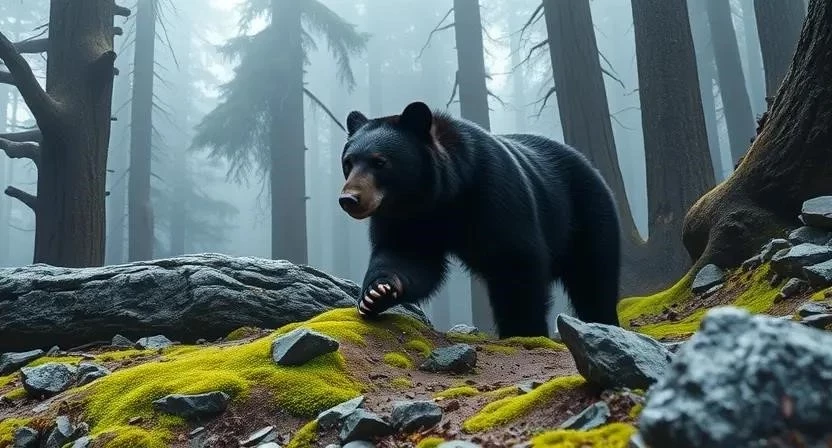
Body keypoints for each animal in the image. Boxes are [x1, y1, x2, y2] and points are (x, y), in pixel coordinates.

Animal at [337, 101, 621, 338]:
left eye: (380, 162)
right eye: (348, 162)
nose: (349, 199)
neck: (442, 196)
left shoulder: (495, 193)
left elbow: (516, 261)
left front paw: (523, 329)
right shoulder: (408, 219)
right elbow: (405, 256)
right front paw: (376, 294)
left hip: (586, 213)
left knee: (594, 275)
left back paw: (602, 321)